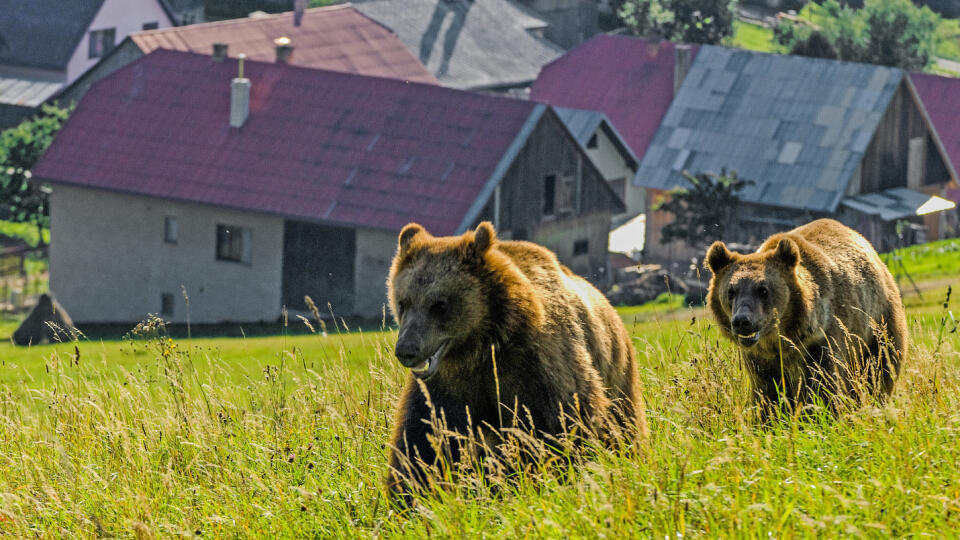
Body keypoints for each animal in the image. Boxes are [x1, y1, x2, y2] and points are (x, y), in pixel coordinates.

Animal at [382, 219, 644, 498]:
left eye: (439, 304)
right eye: (403, 302)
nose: (407, 349)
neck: (481, 346)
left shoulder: (538, 367)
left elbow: (560, 421)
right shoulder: (448, 384)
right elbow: (425, 434)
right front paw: (410, 490)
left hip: (617, 372)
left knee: (624, 424)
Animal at [704, 217, 908, 416]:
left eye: (763, 290)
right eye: (731, 291)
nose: (742, 321)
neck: (782, 338)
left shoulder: (822, 340)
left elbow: (824, 386)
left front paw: (823, 413)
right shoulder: (760, 359)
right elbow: (768, 395)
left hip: (877, 323)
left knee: (880, 367)